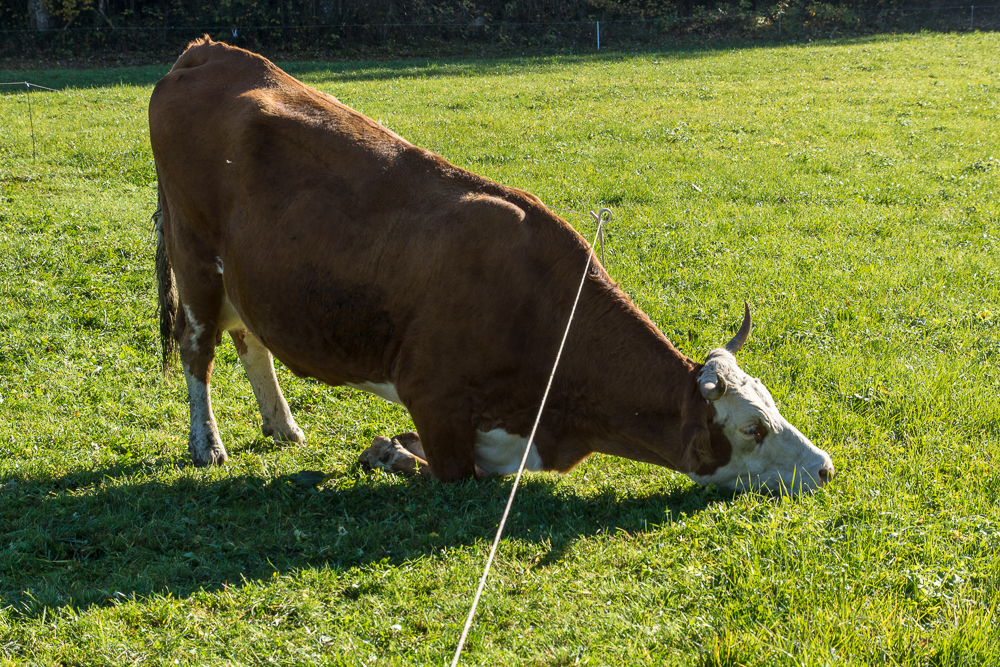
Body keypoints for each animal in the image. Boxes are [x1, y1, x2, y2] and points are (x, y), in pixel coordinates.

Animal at [150, 36, 836, 496]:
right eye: (751, 428)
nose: (825, 466)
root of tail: (209, 52)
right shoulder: (434, 398)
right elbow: (443, 467)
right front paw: (386, 452)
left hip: (242, 274)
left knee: (249, 338)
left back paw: (282, 427)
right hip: (194, 257)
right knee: (197, 347)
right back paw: (207, 444)